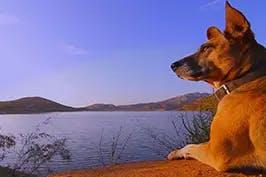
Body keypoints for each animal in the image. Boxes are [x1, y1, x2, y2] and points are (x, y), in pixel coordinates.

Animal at [167, 1, 266, 171]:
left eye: (206, 48)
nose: (172, 65)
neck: (245, 79)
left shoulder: (216, 153)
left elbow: (191, 145)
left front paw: (177, 152)